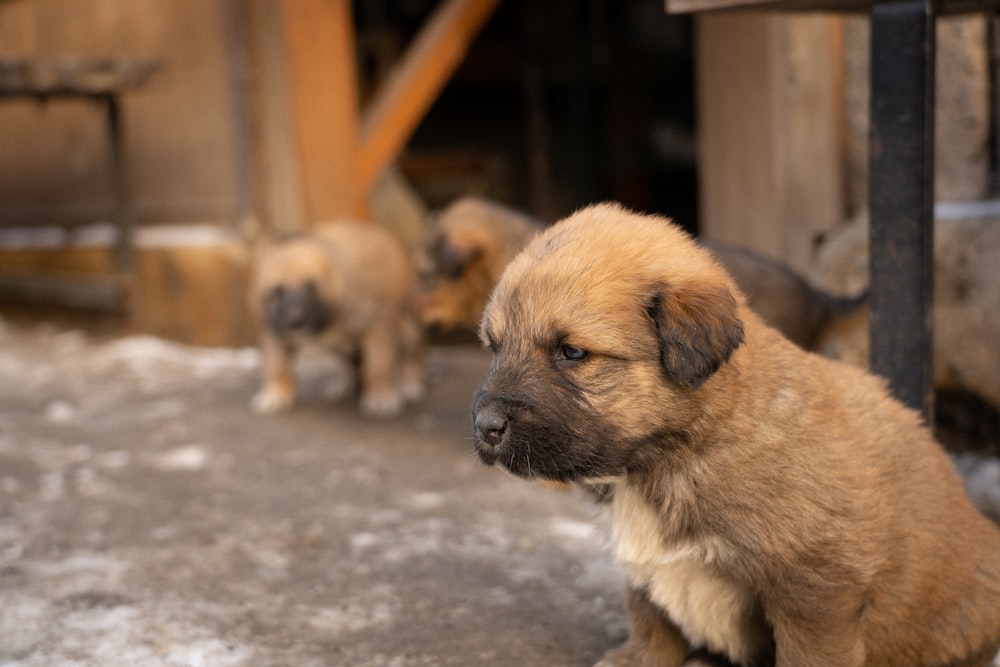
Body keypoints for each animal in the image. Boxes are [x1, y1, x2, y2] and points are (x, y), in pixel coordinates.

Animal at [250, 224, 426, 422]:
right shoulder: (272, 330)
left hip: (408, 329)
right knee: (354, 366)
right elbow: (277, 366)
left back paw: (410, 383)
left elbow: (378, 365)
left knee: (414, 355)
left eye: (312, 287)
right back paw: (347, 386)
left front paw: (381, 395)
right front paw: (276, 394)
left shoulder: (377, 324)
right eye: (276, 292)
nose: (296, 321)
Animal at [472, 202, 1000, 667]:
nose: (484, 427)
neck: (679, 455)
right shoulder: (644, 569)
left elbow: (809, 655)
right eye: (494, 346)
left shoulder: (818, 588)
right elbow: (650, 621)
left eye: (573, 352)